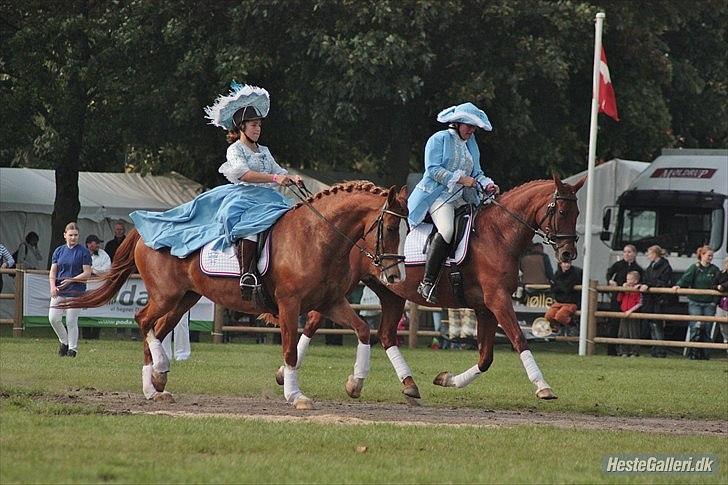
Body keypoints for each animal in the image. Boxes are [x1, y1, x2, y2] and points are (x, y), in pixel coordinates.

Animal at [63, 182, 410, 408]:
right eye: (392, 228)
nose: (396, 276)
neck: (317, 237)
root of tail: (146, 231)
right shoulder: (289, 305)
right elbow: (290, 351)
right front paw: (295, 396)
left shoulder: (330, 302)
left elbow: (363, 330)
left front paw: (355, 383)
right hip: (166, 296)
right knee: (142, 320)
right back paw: (155, 380)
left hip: (185, 299)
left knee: (156, 329)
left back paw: (157, 384)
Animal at [288, 176, 584, 398]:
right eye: (561, 211)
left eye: (578, 212)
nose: (568, 254)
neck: (499, 233)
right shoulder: (498, 300)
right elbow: (519, 339)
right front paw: (543, 386)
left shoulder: (485, 307)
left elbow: (485, 357)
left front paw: (447, 379)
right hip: (346, 284)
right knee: (313, 319)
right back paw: (287, 372)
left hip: (390, 292)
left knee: (386, 335)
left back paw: (408, 384)